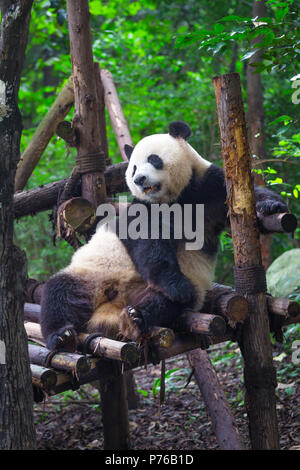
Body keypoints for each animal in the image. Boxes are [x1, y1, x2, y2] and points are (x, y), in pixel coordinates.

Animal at [40, 123, 288, 350]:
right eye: (133, 168)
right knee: (59, 292)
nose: (139, 179)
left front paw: (272, 206)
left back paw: (136, 318)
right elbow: (147, 242)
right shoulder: (143, 210)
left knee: (165, 303)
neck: (176, 197)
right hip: (92, 274)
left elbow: (242, 199)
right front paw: (175, 283)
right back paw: (61, 335)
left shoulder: (208, 186)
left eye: (153, 159)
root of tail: (112, 304)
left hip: (157, 287)